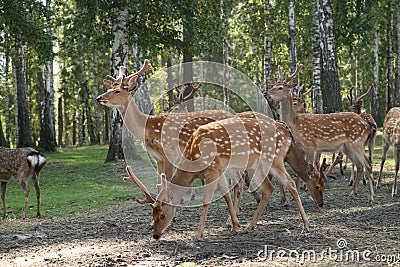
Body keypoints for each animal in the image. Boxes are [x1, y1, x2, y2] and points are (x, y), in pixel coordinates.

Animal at [125, 112, 324, 242]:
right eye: (152, 213)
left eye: (163, 214)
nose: (155, 235)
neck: (193, 157)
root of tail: (286, 132)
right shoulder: (218, 170)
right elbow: (227, 195)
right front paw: (235, 226)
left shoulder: (212, 170)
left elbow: (207, 200)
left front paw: (198, 234)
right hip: (256, 165)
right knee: (269, 188)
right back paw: (250, 226)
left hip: (273, 158)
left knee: (290, 183)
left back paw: (306, 224)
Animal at [266, 63, 376, 202]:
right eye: (273, 85)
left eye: (280, 87)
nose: (266, 93)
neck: (295, 125)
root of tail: (367, 125)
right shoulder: (303, 147)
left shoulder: (311, 146)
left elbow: (311, 169)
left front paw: (310, 194)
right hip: (348, 147)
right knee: (360, 166)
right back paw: (353, 193)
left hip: (357, 142)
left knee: (368, 164)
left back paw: (371, 196)